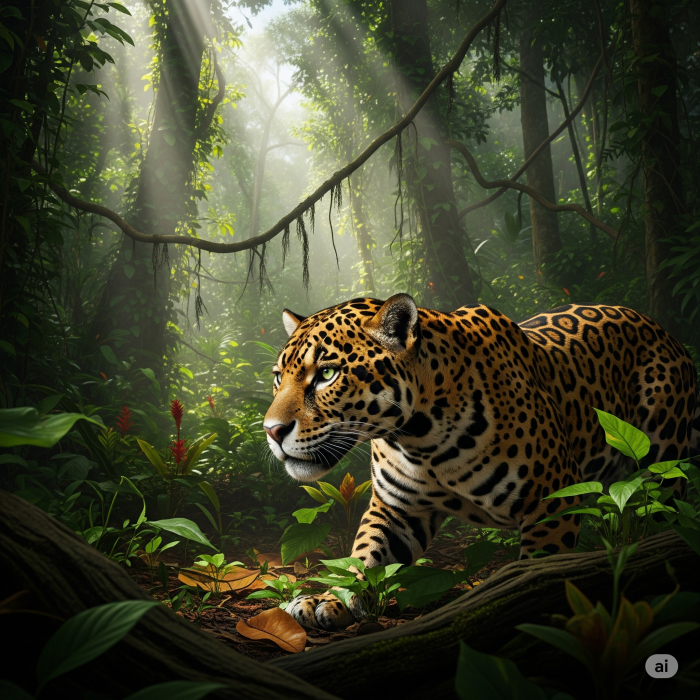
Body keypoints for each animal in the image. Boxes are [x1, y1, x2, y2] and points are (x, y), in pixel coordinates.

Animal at [263, 294, 700, 630]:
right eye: (278, 377)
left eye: (327, 374)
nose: (271, 430)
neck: (420, 438)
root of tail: (664, 330)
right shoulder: (397, 510)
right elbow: (363, 557)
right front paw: (332, 598)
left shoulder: (553, 502)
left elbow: (542, 571)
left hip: (662, 463)